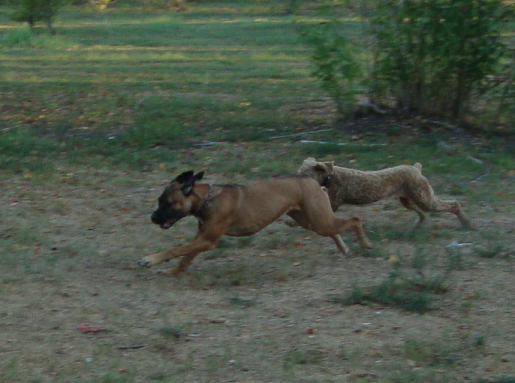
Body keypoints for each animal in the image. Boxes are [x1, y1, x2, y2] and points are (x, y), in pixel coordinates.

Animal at [298, 158, 472, 230]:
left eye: (304, 174)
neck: (329, 178)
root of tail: (416, 169)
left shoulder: (333, 203)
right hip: (408, 199)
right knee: (422, 214)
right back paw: (417, 224)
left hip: (424, 199)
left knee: (453, 204)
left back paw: (466, 222)